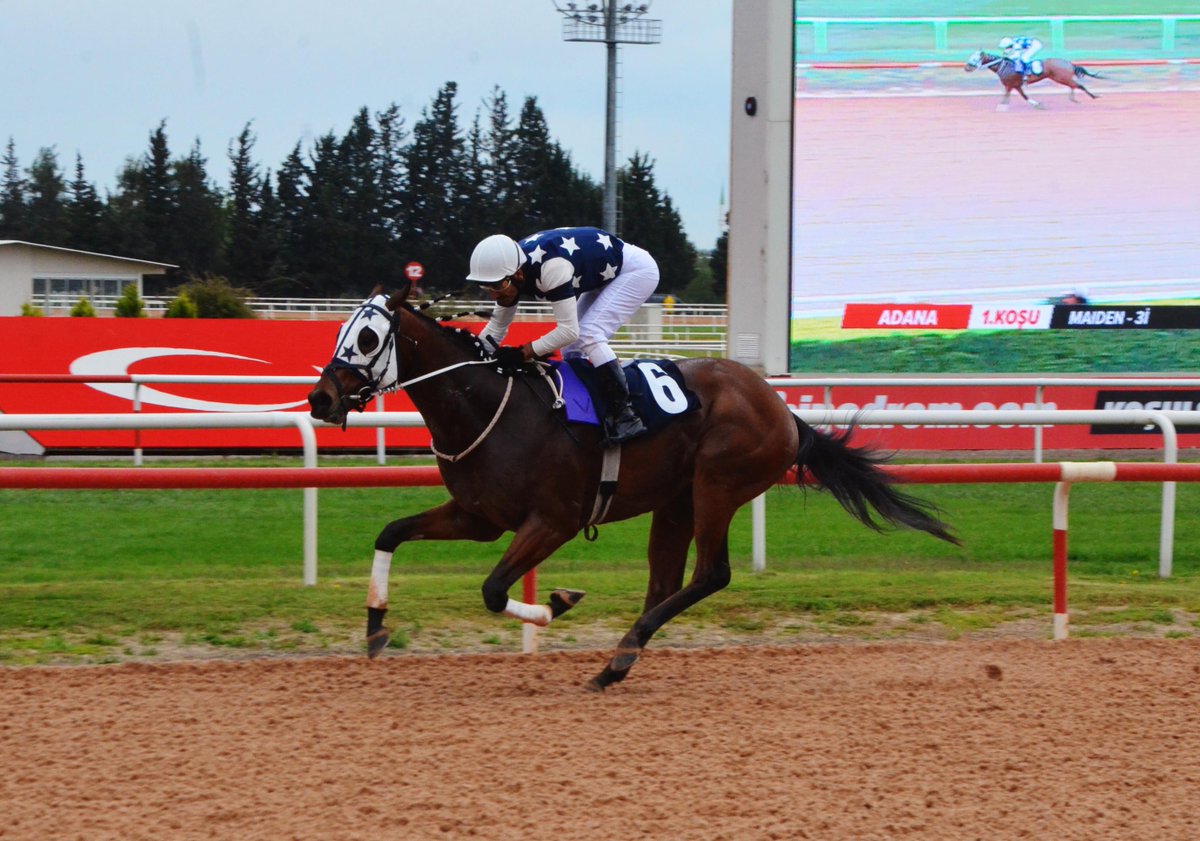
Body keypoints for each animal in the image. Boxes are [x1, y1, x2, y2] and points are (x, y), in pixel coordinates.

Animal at [304, 285, 960, 691]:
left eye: (367, 339)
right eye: (339, 332)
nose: (320, 399)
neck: (489, 407)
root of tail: (782, 408)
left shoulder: (553, 520)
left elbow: (493, 590)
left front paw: (556, 603)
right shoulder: (479, 516)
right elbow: (391, 532)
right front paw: (375, 628)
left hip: (718, 484)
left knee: (711, 574)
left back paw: (623, 651)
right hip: (675, 502)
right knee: (666, 582)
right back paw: (619, 659)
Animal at [964, 49, 1104, 110]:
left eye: (975, 58)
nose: (966, 67)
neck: (1003, 66)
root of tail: (1070, 63)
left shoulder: (1011, 84)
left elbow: (1018, 96)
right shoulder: (1015, 85)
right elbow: (1019, 96)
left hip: (1060, 77)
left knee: (1078, 85)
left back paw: (1093, 96)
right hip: (1062, 78)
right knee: (1073, 85)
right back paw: (1074, 98)